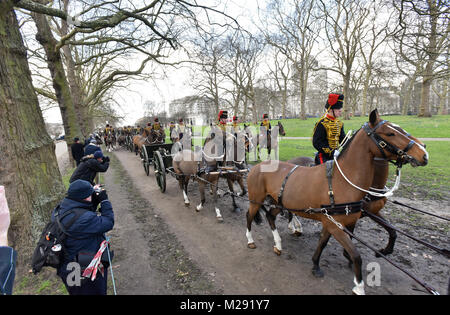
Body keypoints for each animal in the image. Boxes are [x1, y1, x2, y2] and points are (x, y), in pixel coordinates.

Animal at [244, 109, 428, 296]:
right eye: (390, 133)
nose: (423, 152)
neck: (342, 180)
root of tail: (259, 166)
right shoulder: (335, 224)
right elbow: (356, 255)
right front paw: (359, 285)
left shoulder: (337, 222)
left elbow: (324, 243)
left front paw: (316, 264)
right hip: (256, 201)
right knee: (249, 216)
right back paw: (251, 240)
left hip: (280, 202)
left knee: (270, 215)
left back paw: (279, 244)